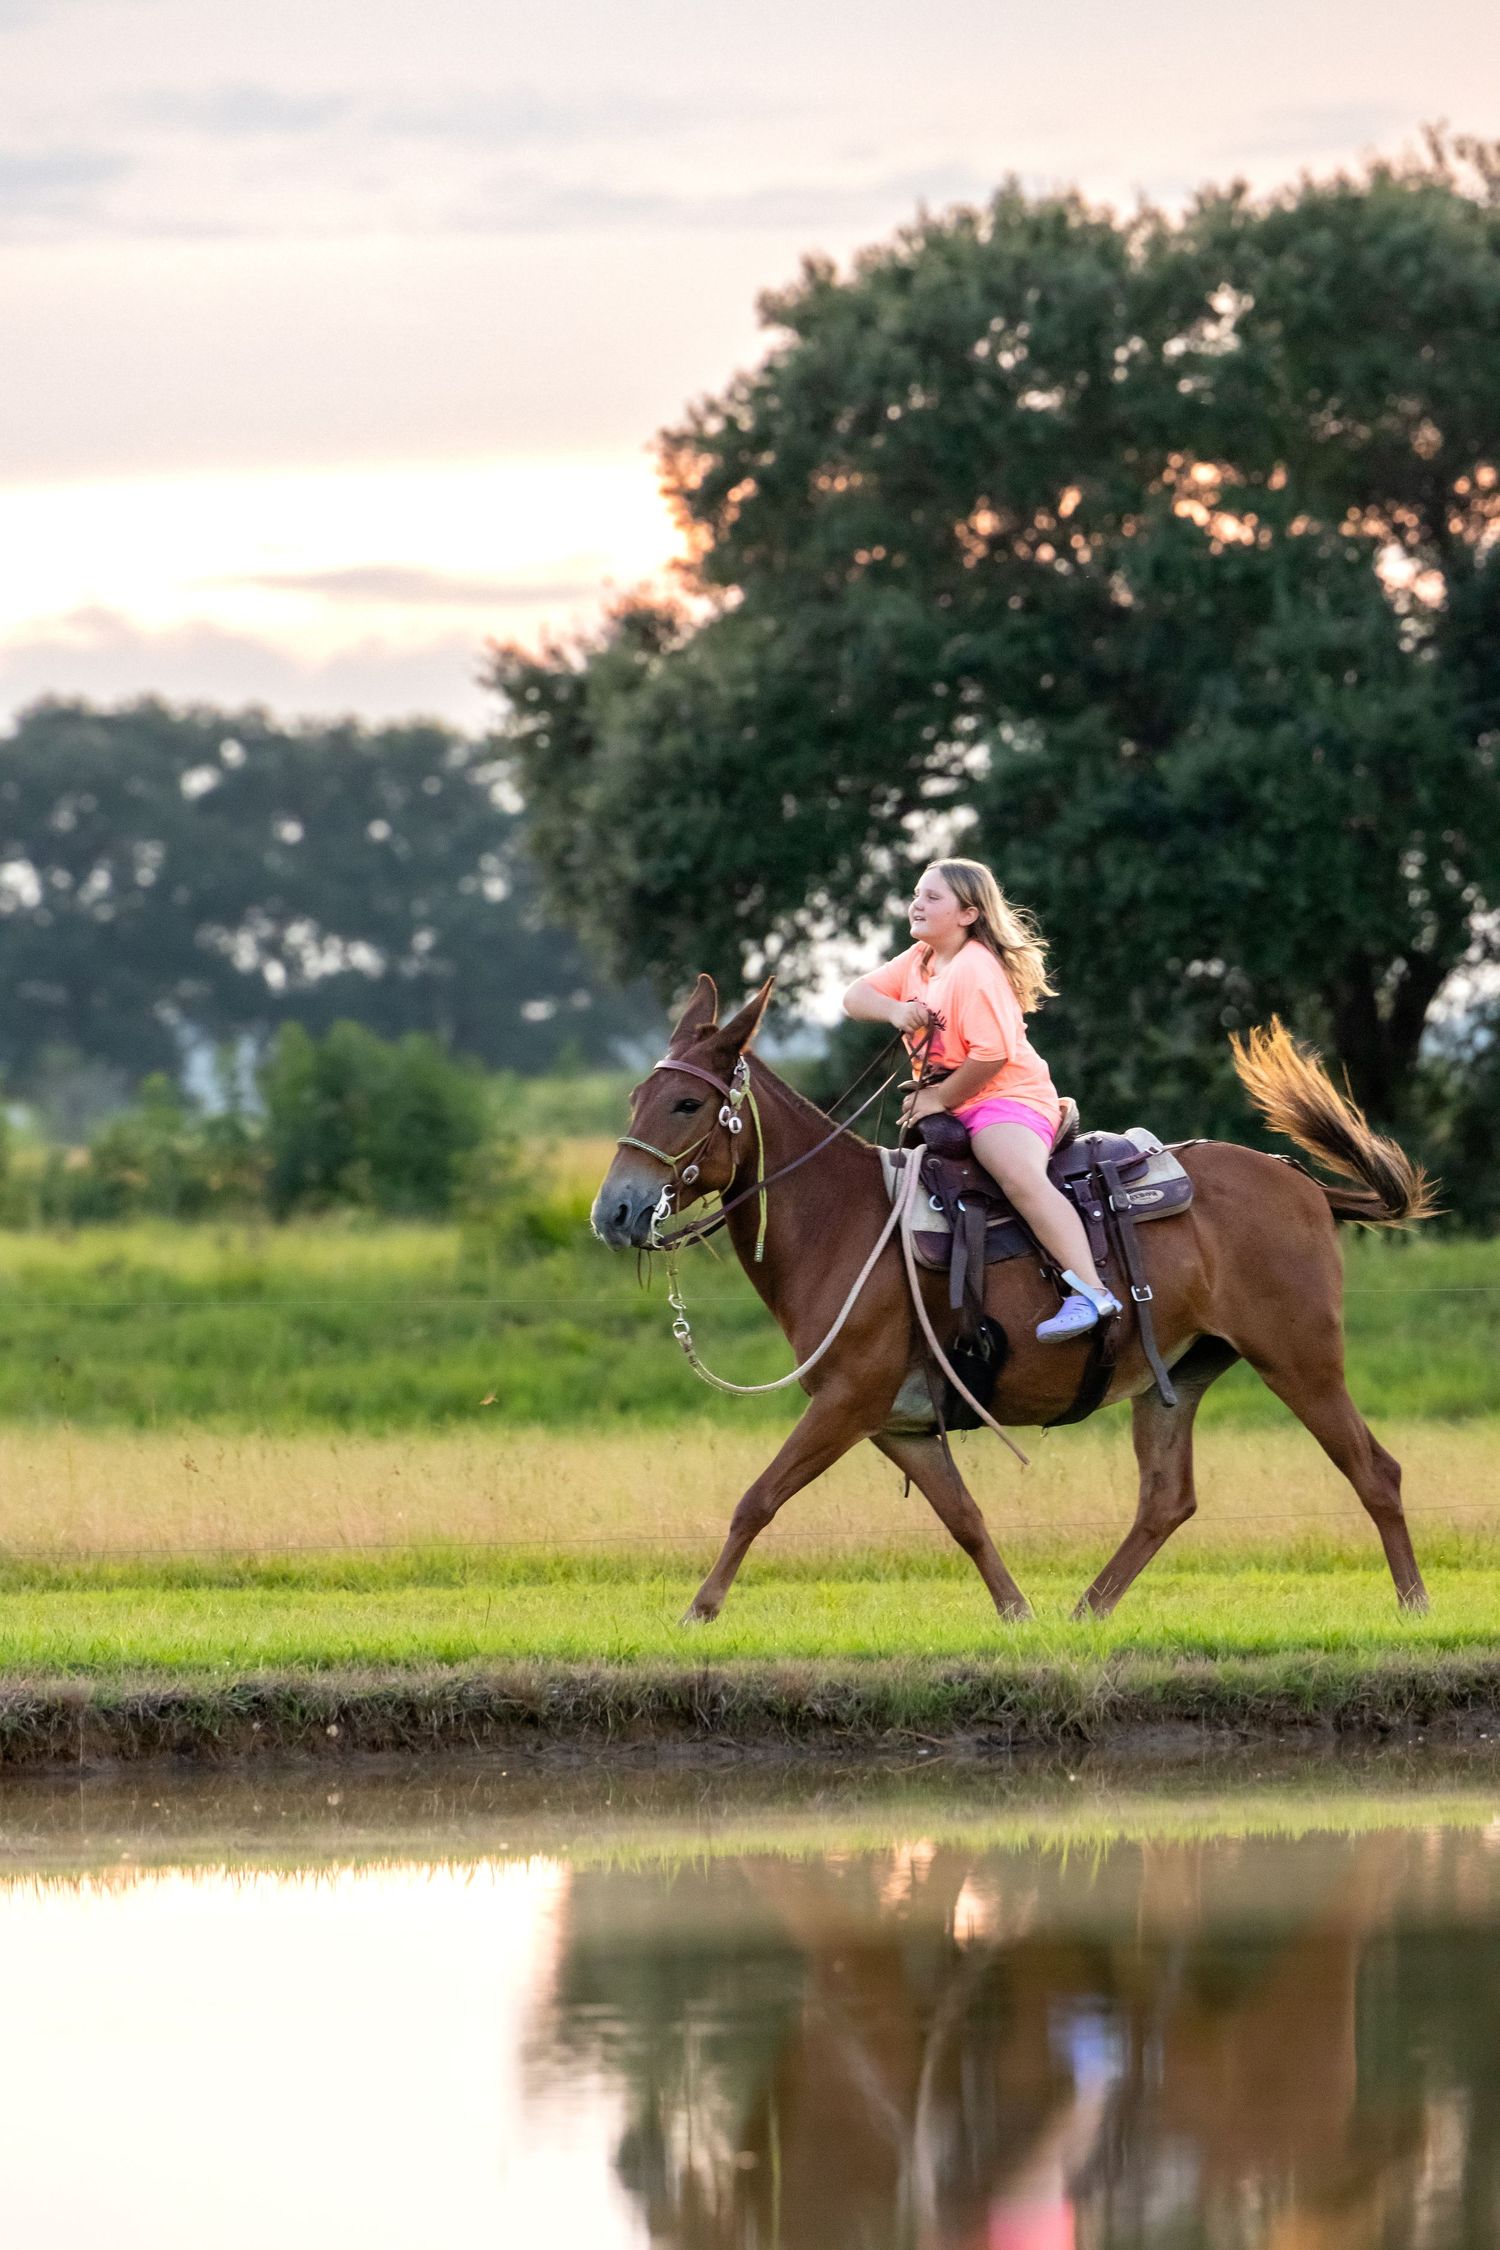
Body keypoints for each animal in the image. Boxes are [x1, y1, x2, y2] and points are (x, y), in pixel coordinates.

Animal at [591, 973, 1436, 1624]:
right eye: (636, 1096)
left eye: (686, 1106)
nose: (615, 1211)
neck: (844, 1220)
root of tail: (1304, 1185)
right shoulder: (898, 1422)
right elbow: (964, 1517)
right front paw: (1018, 1614)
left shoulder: (846, 1400)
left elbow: (757, 1499)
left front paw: (698, 1611)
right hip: (1179, 1375)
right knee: (1167, 1500)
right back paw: (1086, 1609)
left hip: (1301, 1359)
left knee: (1376, 1471)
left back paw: (1413, 1604)